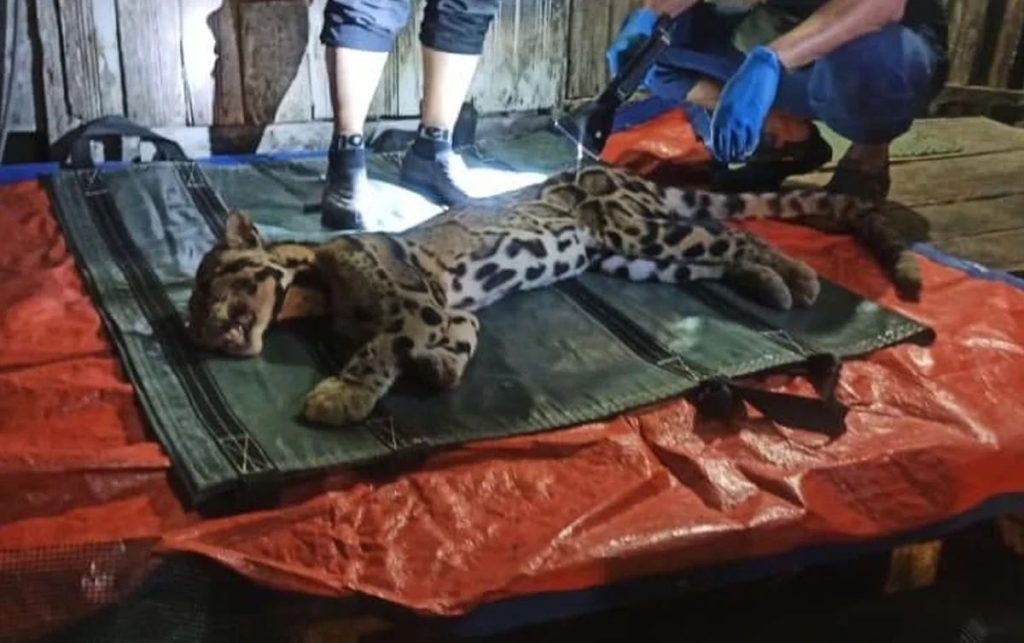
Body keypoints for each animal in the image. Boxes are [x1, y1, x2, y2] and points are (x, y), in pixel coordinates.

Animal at [187, 163, 886, 428]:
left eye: (209, 284)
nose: (199, 332)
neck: (314, 293)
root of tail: (620, 170)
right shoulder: (452, 311)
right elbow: (459, 340)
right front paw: (440, 367)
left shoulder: (416, 304)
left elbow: (377, 349)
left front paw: (341, 394)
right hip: (634, 258)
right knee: (716, 255)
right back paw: (771, 282)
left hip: (636, 229)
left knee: (734, 233)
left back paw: (796, 277)